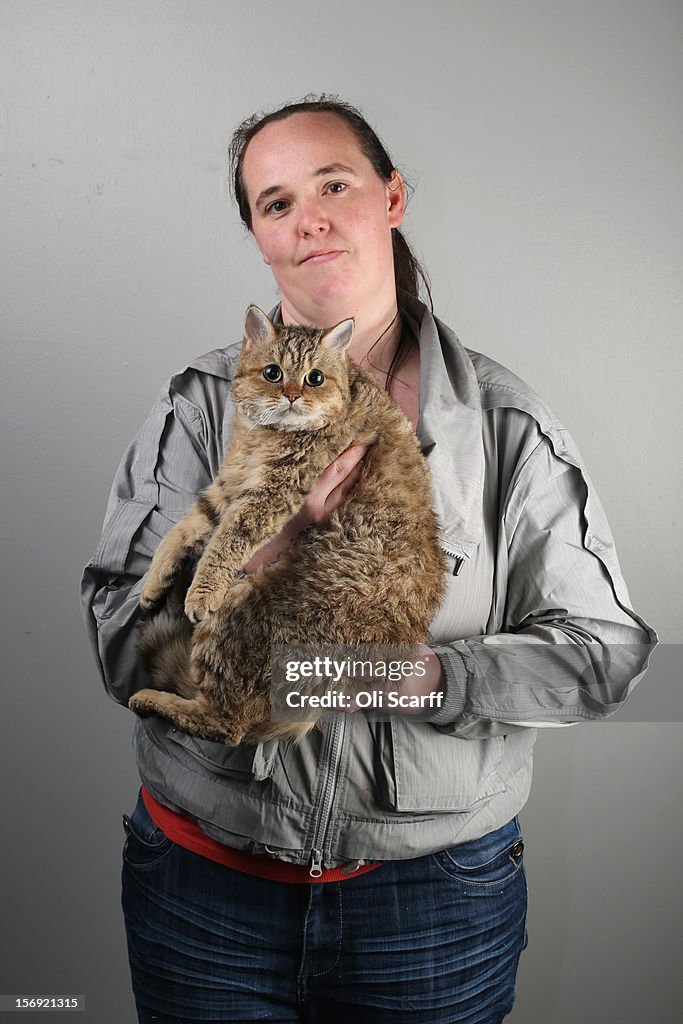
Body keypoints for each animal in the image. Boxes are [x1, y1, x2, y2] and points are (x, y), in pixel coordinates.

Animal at [127, 303, 448, 745]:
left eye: (315, 378)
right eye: (273, 372)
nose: (293, 394)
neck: (260, 434)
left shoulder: (270, 494)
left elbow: (226, 542)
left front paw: (201, 590)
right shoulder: (227, 487)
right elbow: (182, 530)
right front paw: (155, 579)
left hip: (239, 615)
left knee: (225, 724)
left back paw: (156, 700)